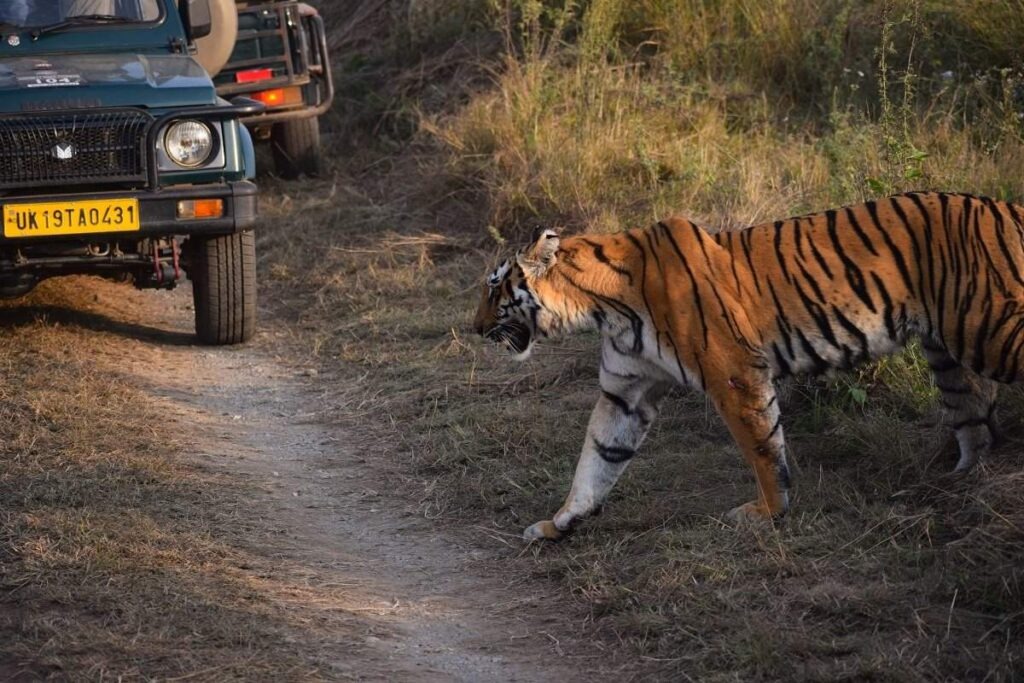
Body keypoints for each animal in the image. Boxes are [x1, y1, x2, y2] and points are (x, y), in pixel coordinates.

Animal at [471, 191, 1015, 540]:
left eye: (494, 289)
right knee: (975, 421)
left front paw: (768, 513)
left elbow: (762, 448)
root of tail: (1010, 208)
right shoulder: (626, 391)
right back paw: (961, 481)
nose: (473, 329)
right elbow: (598, 457)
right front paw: (559, 523)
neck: (602, 306)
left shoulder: (733, 372)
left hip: (989, 329)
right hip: (947, 353)